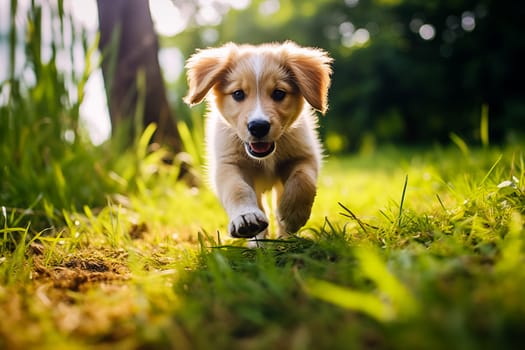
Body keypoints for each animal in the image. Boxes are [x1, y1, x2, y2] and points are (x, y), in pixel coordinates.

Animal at [184, 40, 332, 238]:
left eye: (279, 93)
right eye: (238, 94)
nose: (258, 127)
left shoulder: (304, 155)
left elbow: (303, 180)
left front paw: (293, 215)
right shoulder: (228, 164)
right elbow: (237, 189)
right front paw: (245, 217)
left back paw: (286, 237)